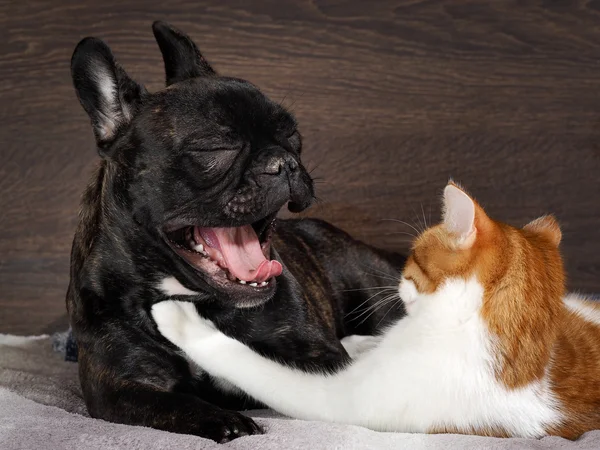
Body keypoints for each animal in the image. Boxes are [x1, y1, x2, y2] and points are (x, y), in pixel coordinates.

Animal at [68, 22, 406, 442]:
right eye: (215, 147)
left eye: (292, 135)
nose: (284, 162)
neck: (189, 295)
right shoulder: (118, 384)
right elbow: (173, 404)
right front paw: (224, 419)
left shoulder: (319, 355)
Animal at [152, 183, 600, 440]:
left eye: (413, 259)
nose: (398, 283)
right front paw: (359, 340)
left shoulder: (340, 399)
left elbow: (248, 364)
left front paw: (179, 320)